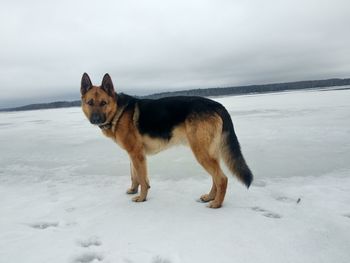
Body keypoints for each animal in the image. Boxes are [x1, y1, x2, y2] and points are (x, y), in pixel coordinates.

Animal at [80, 72, 253, 208]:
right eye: (90, 103)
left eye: (103, 103)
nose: (95, 119)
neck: (118, 111)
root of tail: (217, 104)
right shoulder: (133, 155)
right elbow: (134, 175)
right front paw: (133, 190)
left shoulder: (136, 154)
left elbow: (142, 178)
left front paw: (141, 198)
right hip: (209, 153)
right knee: (215, 178)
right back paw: (210, 197)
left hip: (201, 152)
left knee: (222, 178)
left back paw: (216, 203)